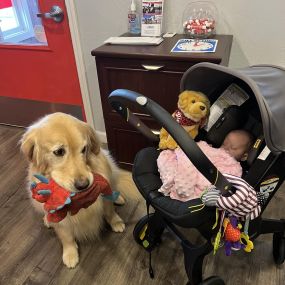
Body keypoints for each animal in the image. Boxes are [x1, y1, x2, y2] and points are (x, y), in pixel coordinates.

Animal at [20, 112, 138, 268]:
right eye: (59, 152)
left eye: (84, 149)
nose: (84, 185)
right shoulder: (60, 217)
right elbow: (66, 236)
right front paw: (70, 253)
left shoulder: (104, 193)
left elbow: (109, 211)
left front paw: (116, 222)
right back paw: (47, 219)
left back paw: (117, 197)